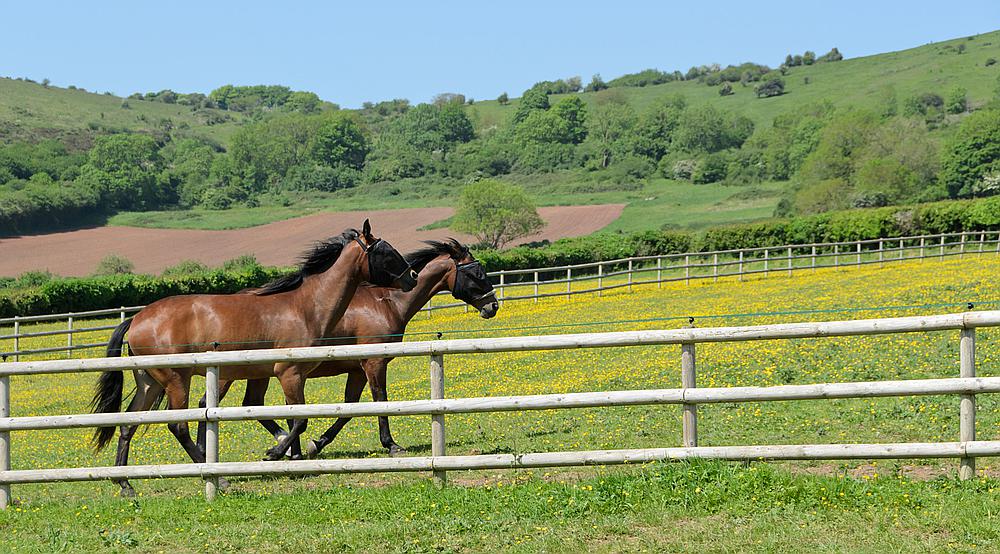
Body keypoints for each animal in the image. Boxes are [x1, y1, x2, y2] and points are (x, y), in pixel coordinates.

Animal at [91, 218, 418, 494]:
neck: (305, 307)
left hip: (149, 383)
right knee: (178, 426)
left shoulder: (278, 375)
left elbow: (291, 417)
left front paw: (293, 456)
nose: (413, 276)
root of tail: (137, 319)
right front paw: (276, 453)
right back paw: (219, 479)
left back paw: (125, 484)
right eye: (386, 251)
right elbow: (299, 420)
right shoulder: (290, 373)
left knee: (127, 424)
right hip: (175, 381)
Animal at [190, 237, 496, 458]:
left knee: (249, 404)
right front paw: (391, 444)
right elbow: (380, 401)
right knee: (208, 403)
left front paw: (317, 442)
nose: (492, 306)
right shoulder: (374, 364)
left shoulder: (358, 370)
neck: (386, 302)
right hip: (231, 373)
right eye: (476, 272)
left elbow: (349, 408)